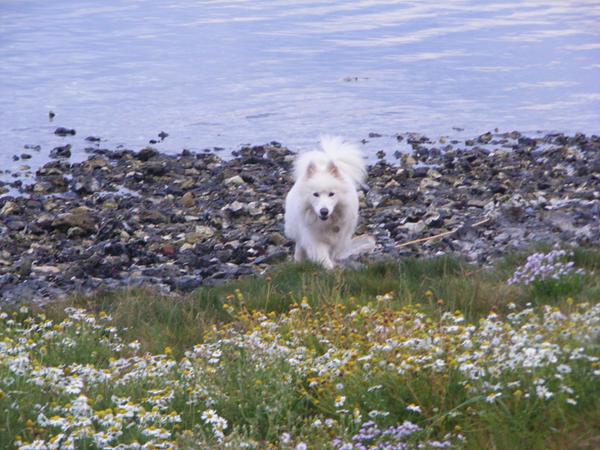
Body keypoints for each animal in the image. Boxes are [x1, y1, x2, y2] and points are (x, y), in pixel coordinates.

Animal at [284, 137, 372, 268]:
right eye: (315, 194)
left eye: (332, 194)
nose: (324, 211)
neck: (327, 223)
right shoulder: (313, 239)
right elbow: (322, 256)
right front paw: (329, 268)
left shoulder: (339, 240)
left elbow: (331, 254)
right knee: (299, 247)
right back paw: (298, 261)